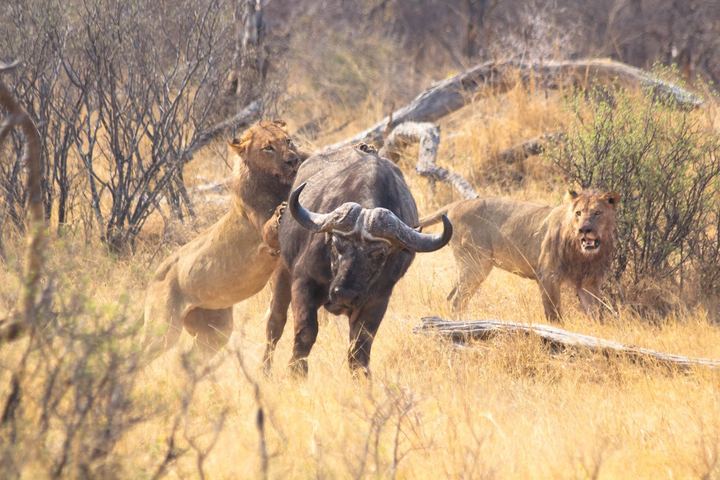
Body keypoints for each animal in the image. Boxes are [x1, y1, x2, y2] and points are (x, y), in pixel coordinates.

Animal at [262, 144, 452, 376]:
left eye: (379, 254)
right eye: (337, 244)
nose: (344, 294)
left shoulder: (378, 300)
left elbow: (359, 348)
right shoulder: (303, 281)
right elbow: (306, 332)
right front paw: (297, 373)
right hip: (282, 270)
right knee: (275, 322)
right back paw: (265, 370)